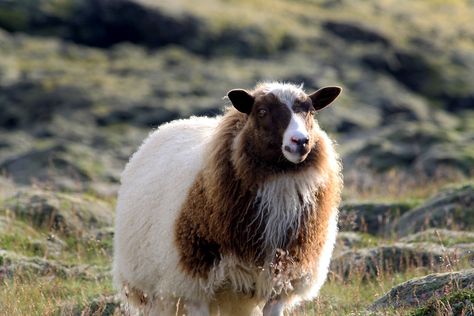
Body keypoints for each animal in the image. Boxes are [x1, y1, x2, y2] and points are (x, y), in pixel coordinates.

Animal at [113, 82, 342, 316]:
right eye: (261, 111)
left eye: (311, 111)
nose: (301, 141)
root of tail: (175, 123)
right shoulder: (194, 285)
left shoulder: (280, 281)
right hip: (152, 289)